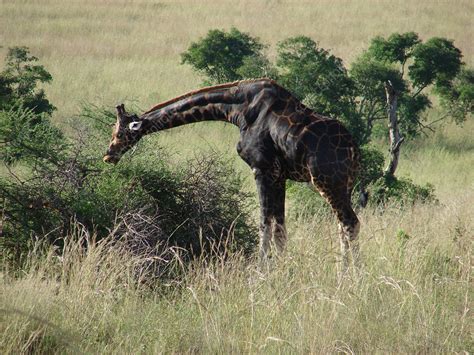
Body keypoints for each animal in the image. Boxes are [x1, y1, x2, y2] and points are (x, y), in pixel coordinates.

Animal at [103, 79, 362, 272]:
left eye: (119, 133)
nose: (108, 155)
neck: (237, 110)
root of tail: (354, 149)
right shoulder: (279, 176)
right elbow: (279, 228)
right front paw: (282, 270)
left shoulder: (262, 169)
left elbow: (264, 223)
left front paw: (261, 272)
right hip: (345, 185)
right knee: (343, 225)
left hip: (328, 182)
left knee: (350, 222)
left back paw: (349, 276)